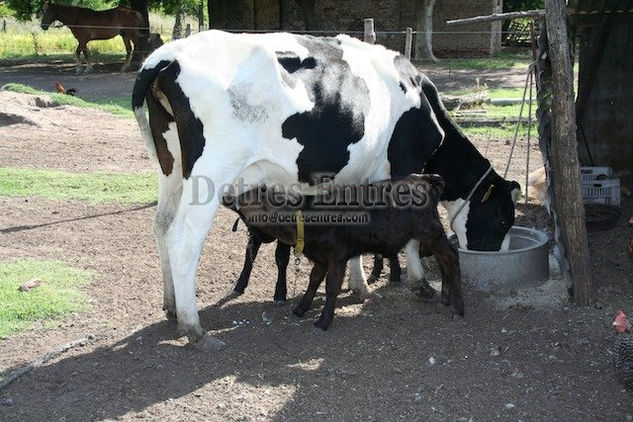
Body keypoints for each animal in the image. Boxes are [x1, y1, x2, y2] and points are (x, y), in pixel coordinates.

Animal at [132, 31, 520, 352]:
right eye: (504, 220)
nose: (495, 255)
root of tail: (164, 57)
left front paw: (359, 285)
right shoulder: (404, 164)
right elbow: (409, 238)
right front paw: (419, 282)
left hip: (171, 168)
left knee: (161, 224)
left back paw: (171, 305)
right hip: (211, 170)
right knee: (183, 238)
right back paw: (194, 327)